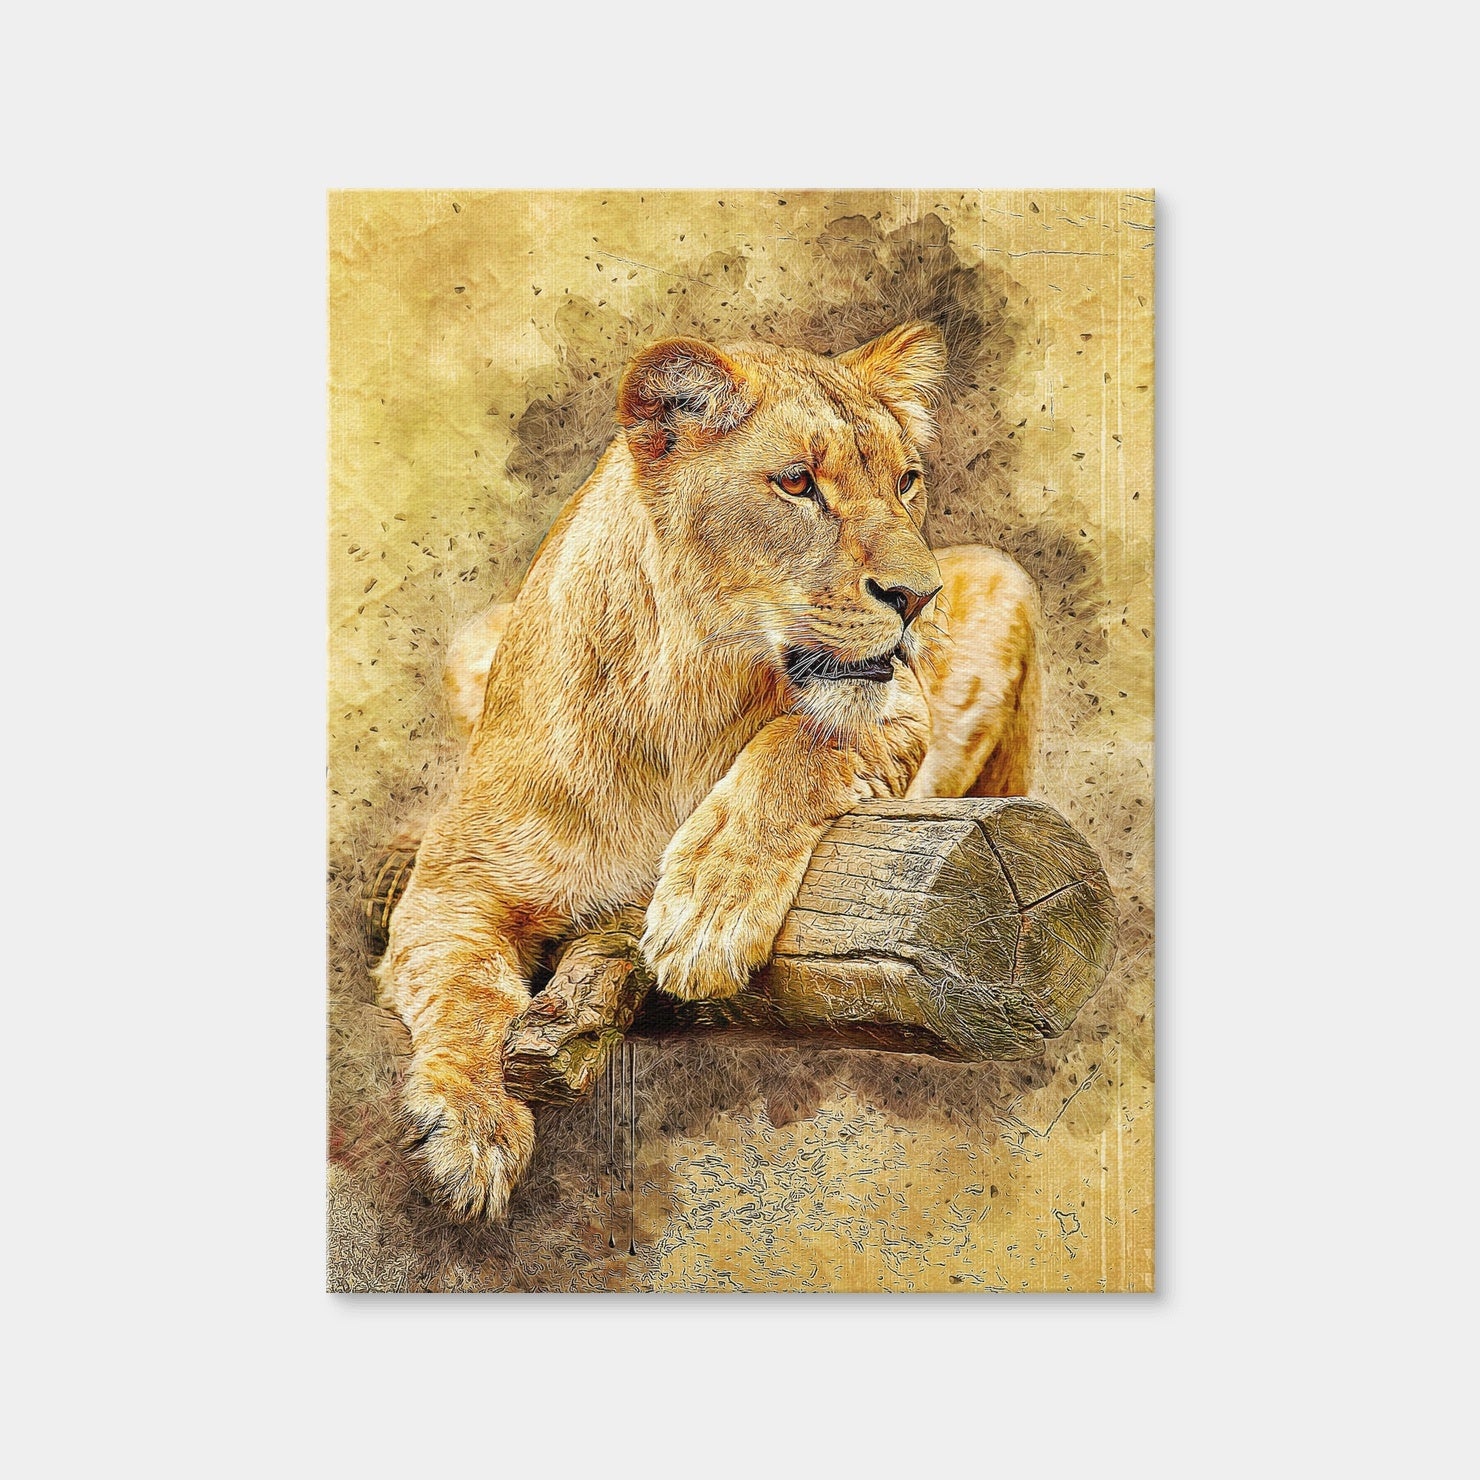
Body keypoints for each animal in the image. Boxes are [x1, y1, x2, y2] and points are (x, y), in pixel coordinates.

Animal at [379, 322, 1042, 1221]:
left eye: (907, 481)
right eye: (797, 483)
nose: (919, 597)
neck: (685, 693)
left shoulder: (901, 709)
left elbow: (800, 743)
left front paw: (705, 915)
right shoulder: (453, 884)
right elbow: (463, 988)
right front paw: (472, 1128)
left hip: (1007, 580)